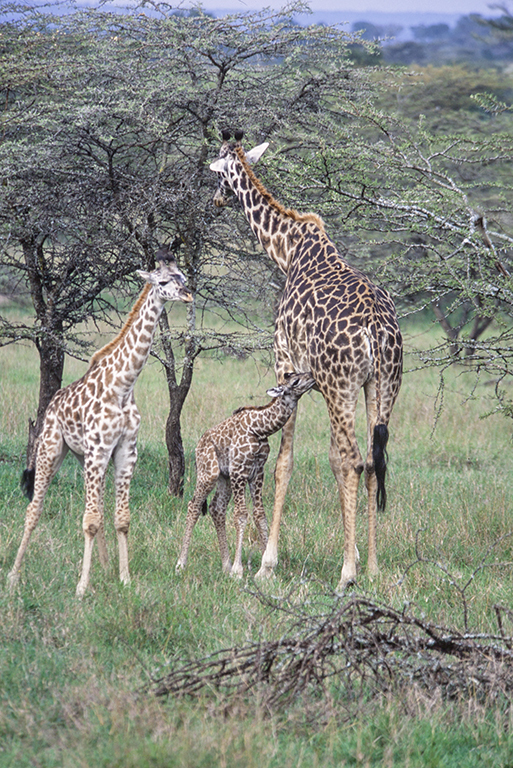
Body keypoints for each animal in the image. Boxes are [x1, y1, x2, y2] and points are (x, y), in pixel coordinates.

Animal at [8, 256, 192, 592]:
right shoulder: (98, 450)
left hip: (86, 458)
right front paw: (82, 587)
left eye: (183, 276)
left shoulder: (125, 451)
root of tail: (53, 402)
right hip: (52, 449)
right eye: (162, 281)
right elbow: (90, 520)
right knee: (34, 508)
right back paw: (14, 575)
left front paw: (124, 578)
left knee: (99, 509)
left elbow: (120, 518)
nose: (187, 295)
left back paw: (104, 569)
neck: (124, 385)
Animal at [174, 370, 314, 576]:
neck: (260, 429)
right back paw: (181, 564)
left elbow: (259, 514)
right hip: (209, 472)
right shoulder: (239, 470)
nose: (312, 376)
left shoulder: (257, 472)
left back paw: (225, 565)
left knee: (217, 508)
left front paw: (266, 570)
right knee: (194, 506)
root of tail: (198, 445)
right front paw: (238, 570)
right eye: (295, 380)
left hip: (224, 478)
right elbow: (241, 515)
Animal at [210, 132, 402, 588]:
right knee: (373, 461)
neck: (287, 250)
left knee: (350, 460)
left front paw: (267, 563)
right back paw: (372, 566)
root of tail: (377, 330)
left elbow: (285, 462)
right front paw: (356, 554)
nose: (216, 200)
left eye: (217, 174)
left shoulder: (284, 358)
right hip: (383, 385)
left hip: (339, 385)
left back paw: (347, 575)